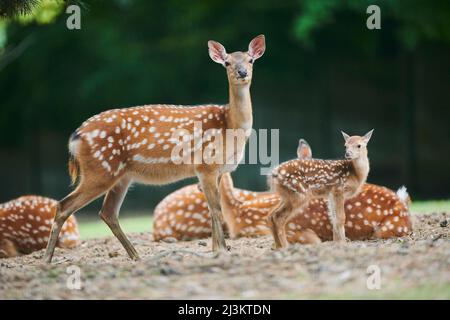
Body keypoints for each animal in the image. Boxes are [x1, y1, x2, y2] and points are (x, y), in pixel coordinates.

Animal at [44, 35, 266, 262]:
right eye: (227, 63)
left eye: (250, 60)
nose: (242, 73)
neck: (230, 125)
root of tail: (75, 136)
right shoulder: (206, 166)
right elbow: (215, 210)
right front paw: (220, 250)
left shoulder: (219, 170)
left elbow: (213, 210)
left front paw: (216, 249)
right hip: (99, 170)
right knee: (64, 206)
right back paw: (46, 260)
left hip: (121, 176)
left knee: (107, 212)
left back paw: (136, 256)